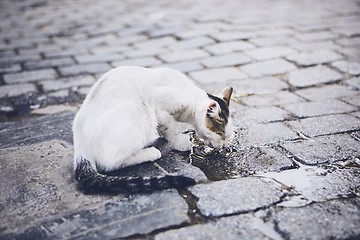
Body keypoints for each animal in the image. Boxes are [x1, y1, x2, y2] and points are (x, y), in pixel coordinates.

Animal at [73, 66, 233, 194]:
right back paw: (149, 152)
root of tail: (80, 148)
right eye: (221, 135)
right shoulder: (158, 104)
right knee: (110, 162)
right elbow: (168, 127)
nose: (224, 147)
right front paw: (181, 142)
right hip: (137, 111)